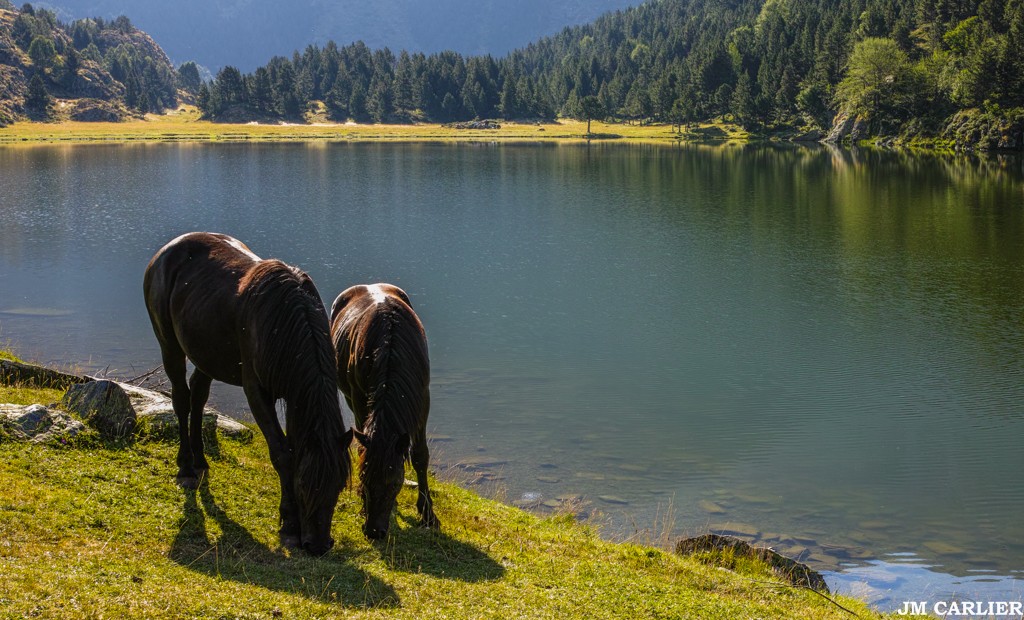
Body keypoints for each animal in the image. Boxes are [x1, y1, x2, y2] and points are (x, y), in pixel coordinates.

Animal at [142, 231, 354, 557]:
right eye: (304, 485)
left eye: (339, 485)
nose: (318, 545)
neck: (284, 320)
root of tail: (166, 251)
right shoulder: (257, 391)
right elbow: (282, 454)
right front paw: (289, 527)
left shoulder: (294, 395)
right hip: (170, 346)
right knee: (181, 399)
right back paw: (187, 468)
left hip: (207, 354)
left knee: (198, 397)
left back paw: (201, 461)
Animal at [329, 282, 438, 541]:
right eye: (363, 478)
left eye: (395, 483)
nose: (374, 531)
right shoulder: (359, 396)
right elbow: (362, 449)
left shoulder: (423, 398)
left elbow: (420, 455)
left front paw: (428, 515)